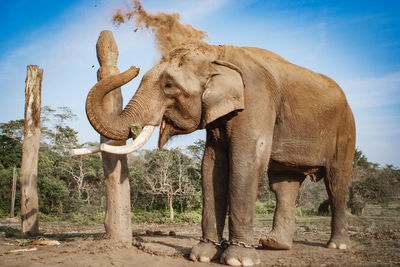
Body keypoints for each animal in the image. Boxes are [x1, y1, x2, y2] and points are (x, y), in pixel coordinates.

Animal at [84, 42, 356, 266]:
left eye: (169, 85)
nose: (134, 67)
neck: (217, 52)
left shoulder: (256, 100)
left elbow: (245, 160)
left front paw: (239, 260)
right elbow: (211, 166)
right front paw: (202, 256)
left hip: (345, 131)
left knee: (336, 182)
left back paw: (338, 245)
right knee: (283, 184)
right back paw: (274, 244)